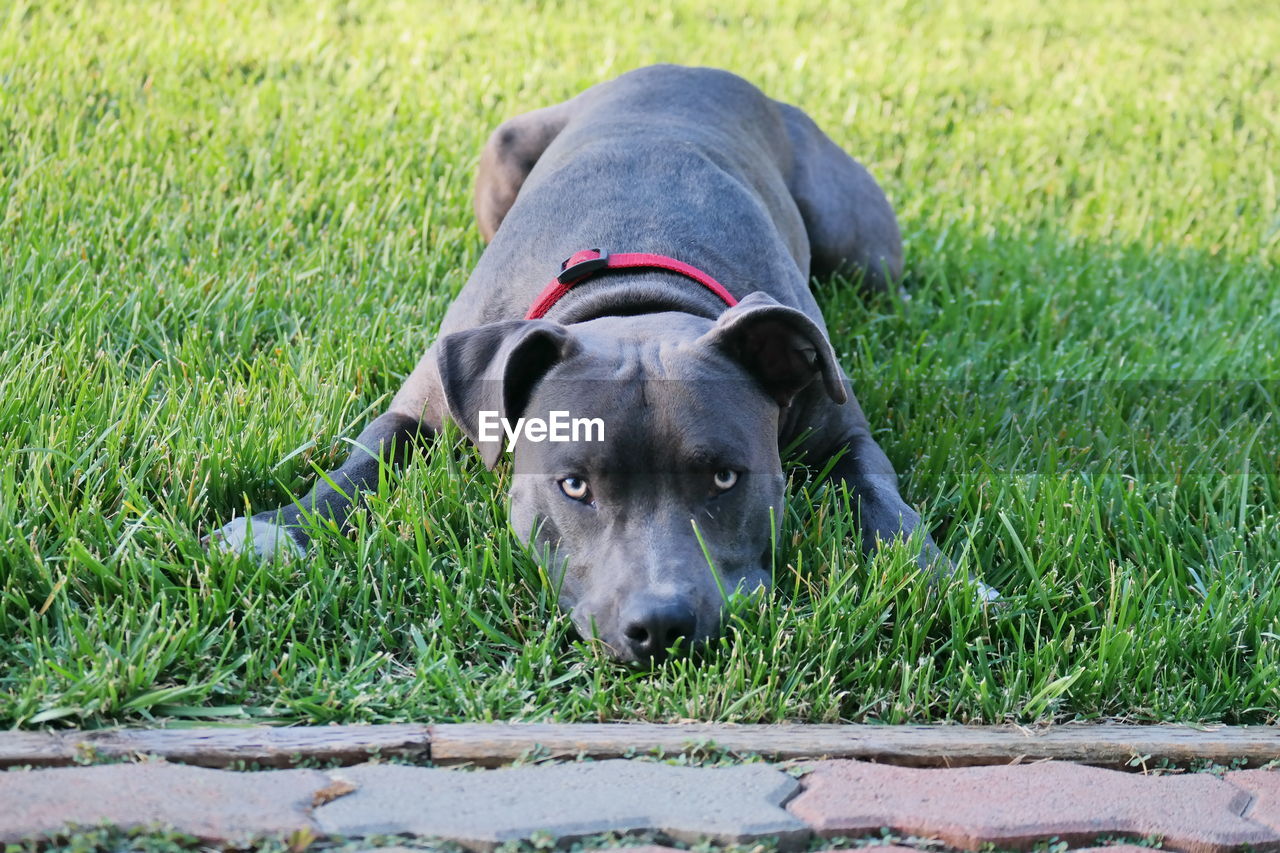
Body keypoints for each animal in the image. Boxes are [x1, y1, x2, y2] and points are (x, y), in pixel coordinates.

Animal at [212, 66, 998, 666]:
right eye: (573, 486)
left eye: (725, 478)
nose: (662, 626)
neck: (636, 298)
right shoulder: (422, 403)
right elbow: (359, 463)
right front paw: (280, 528)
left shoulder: (841, 430)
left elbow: (883, 498)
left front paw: (942, 577)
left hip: (861, 253)